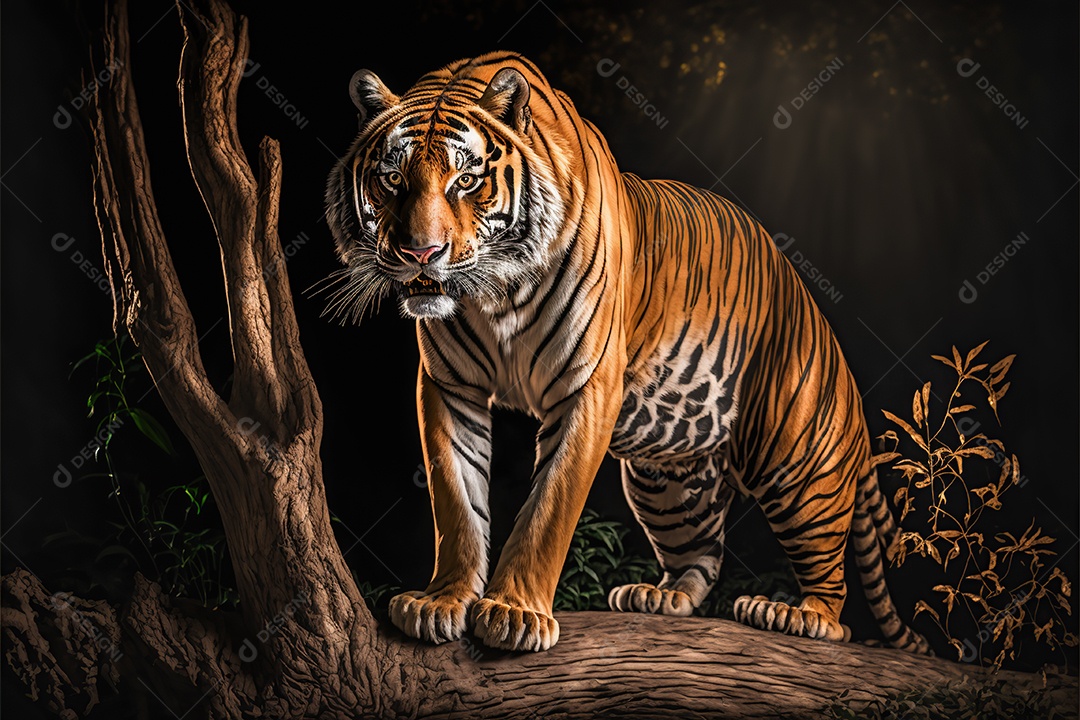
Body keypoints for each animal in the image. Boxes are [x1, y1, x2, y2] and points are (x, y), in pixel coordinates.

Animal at [324, 51, 930, 655]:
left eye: (466, 180)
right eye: (392, 179)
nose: (420, 253)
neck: (497, 296)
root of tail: (824, 330)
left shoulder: (585, 386)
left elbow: (549, 507)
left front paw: (515, 612)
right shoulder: (450, 385)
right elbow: (456, 499)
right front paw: (442, 602)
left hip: (795, 461)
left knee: (834, 589)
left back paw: (795, 615)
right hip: (666, 481)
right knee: (702, 557)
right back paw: (658, 596)